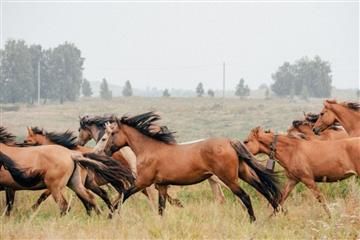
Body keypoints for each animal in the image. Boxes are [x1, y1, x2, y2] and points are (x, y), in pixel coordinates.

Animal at [0, 126, 134, 217]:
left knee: (119, 193)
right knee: (103, 195)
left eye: (27, 141)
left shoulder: (52, 186)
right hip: (88, 184)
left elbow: (42, 196)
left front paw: (31, 210)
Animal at [98, 111, 282, 222]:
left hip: (229, 179)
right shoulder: (162, 186)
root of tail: (229, 142)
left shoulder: (142, 182)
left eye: (111, 134)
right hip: (243, 173)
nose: (106, 151)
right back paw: (278, 212)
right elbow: (161, 208)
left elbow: (123, 195)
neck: (149, 149)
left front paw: (110, 215)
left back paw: (254, 220)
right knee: (263, 189)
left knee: (245, 196)